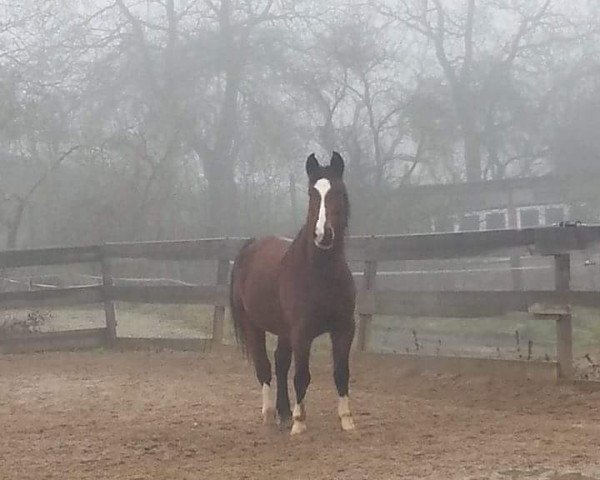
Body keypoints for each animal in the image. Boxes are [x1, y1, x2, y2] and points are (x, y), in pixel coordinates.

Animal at [230, 153, 356, 436]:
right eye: (311, 194)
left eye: (340, 192)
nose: (323, 235)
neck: (319, 274)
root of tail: (251, 245)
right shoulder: (302, 333)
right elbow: (302, 376)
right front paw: (300, 423)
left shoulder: (344, 328)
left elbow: (341, 372)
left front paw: (347, 420)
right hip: (254, 325)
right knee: (264, 367)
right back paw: (270, 414)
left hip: (283, 330)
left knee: (279, 362)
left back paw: (284, 413)